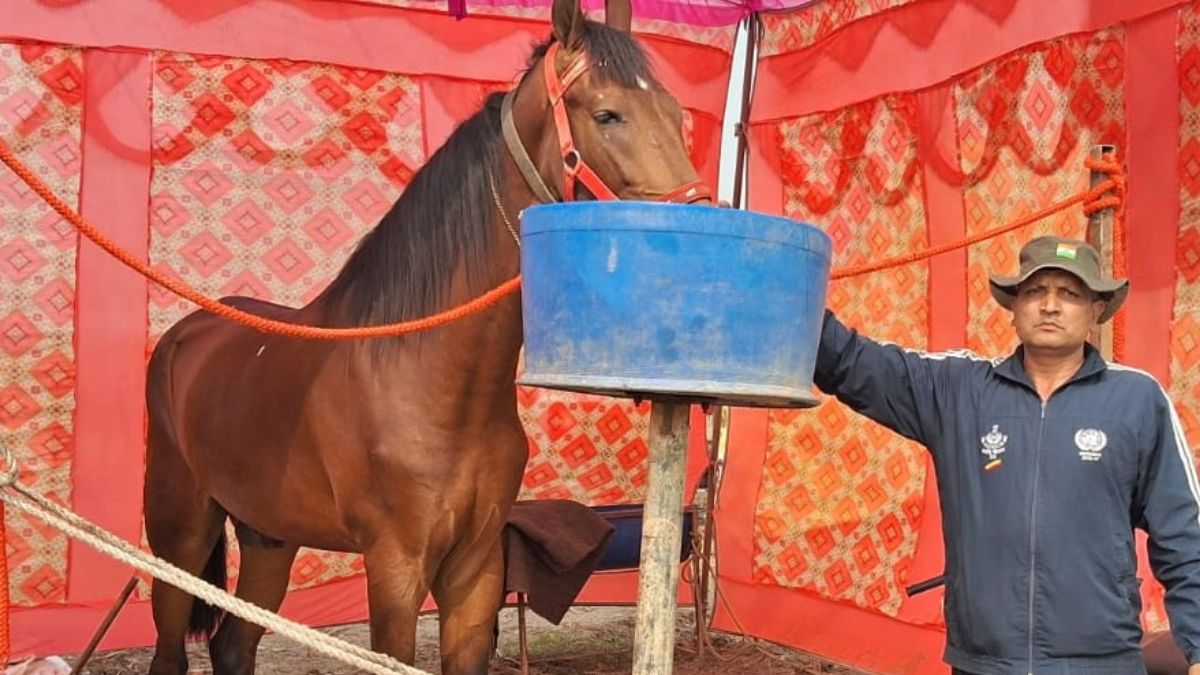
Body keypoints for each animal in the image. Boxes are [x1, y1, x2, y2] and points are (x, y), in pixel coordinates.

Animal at [141, 0, 709, 671]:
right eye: (607, 114)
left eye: (674, 114)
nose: (702, 237)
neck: (433, 379)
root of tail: (186, 335)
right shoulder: (396, 566)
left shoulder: (476, 570)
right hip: (178, 533)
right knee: (171, 652)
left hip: (268, 536)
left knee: (233, 646)